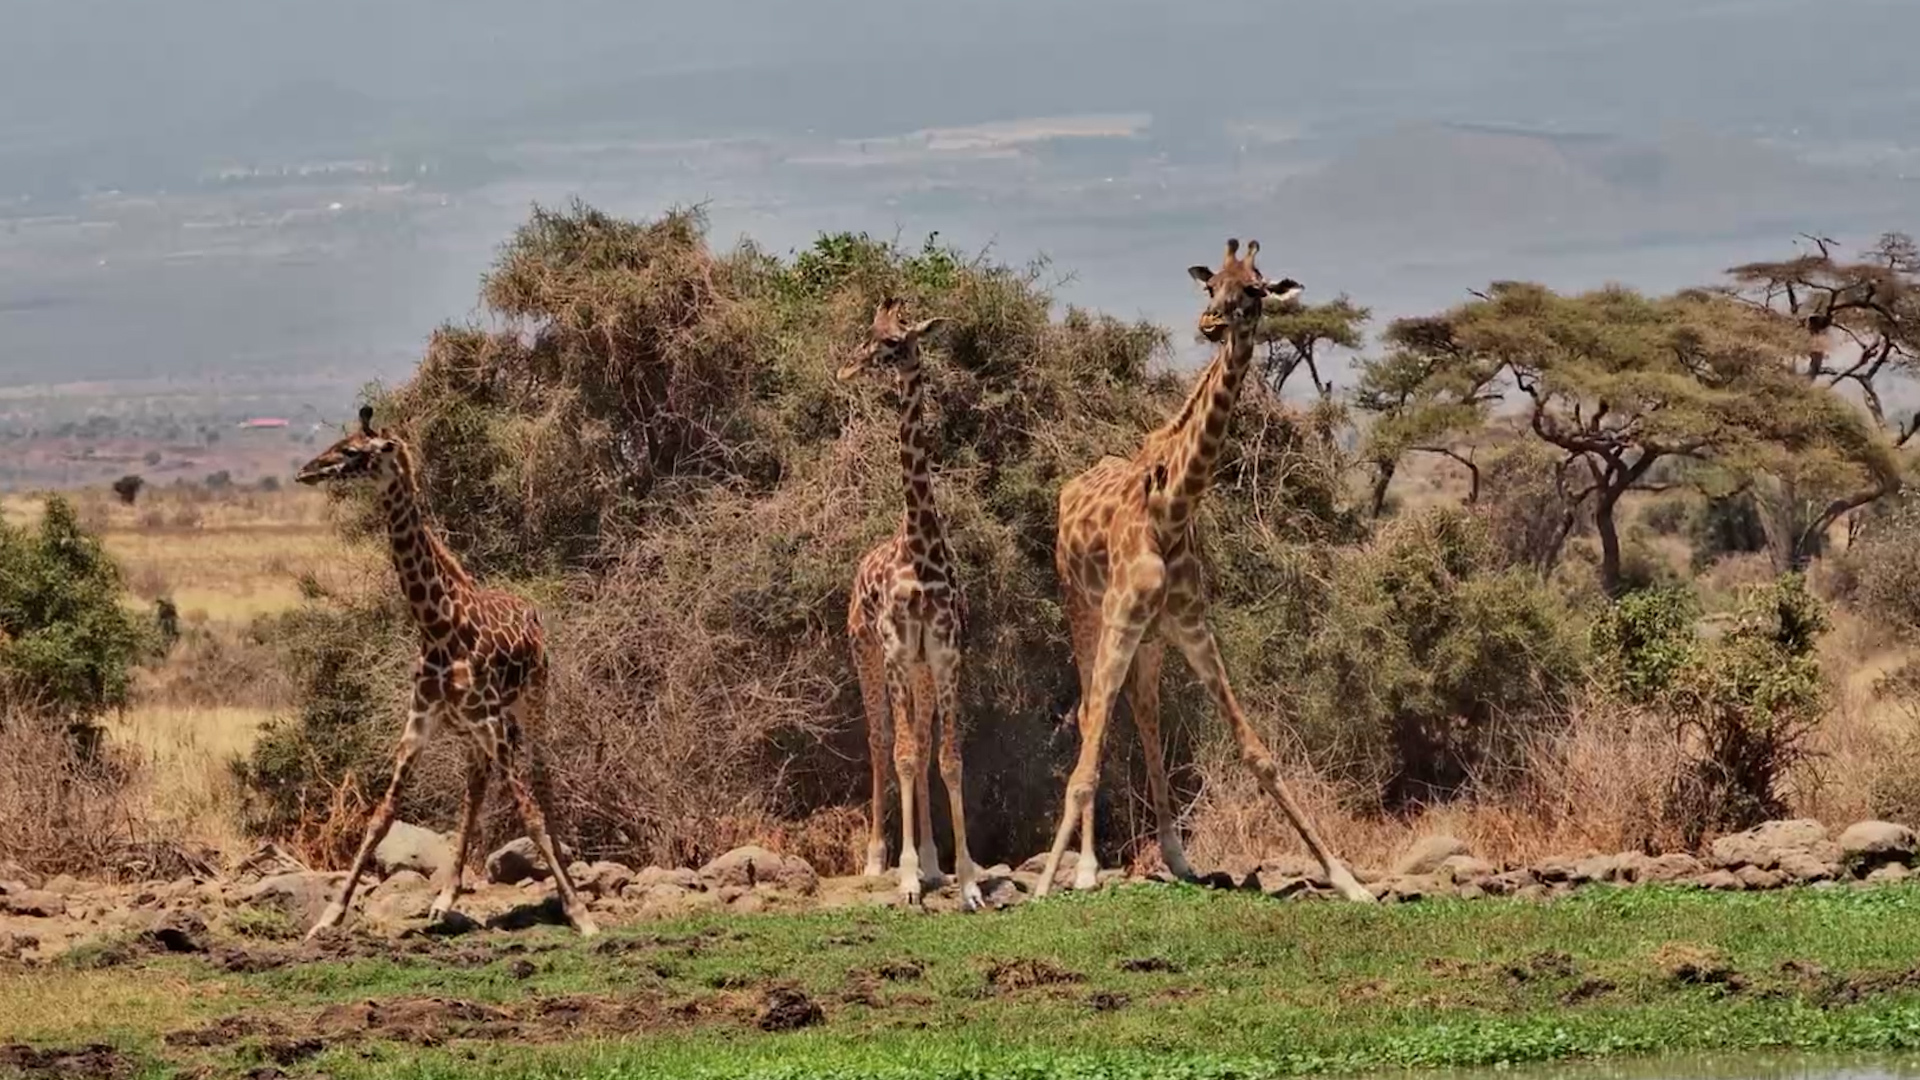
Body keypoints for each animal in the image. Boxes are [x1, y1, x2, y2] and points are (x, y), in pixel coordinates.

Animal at [294, 406, 598, 938]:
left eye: (352, 451)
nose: (308, 471)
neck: (437, 626)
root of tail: (530, 609)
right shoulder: (420, 722)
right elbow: (381, 815)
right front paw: (330, 916)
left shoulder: (491, 721)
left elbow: (528, 811)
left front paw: (580, 913)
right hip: (471, 729)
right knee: (476, 785)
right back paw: (445, 896)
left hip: (530, 700)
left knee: (541, 781)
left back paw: (564, 887)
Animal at [1036, 239, 1373, 903]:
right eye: (1211, 284)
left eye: (1255, 290)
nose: (1211, 322)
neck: (1172, 508)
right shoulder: (1120, 618)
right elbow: (1088, 752)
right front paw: (1043, 886)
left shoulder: (1191, 628)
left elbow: (1257, 751)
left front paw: (1348, 879)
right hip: (1085, 613)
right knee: (1091, 717)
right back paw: (1084, 867)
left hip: (1149, 641)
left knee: (1143, 712)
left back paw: (1175, 855)